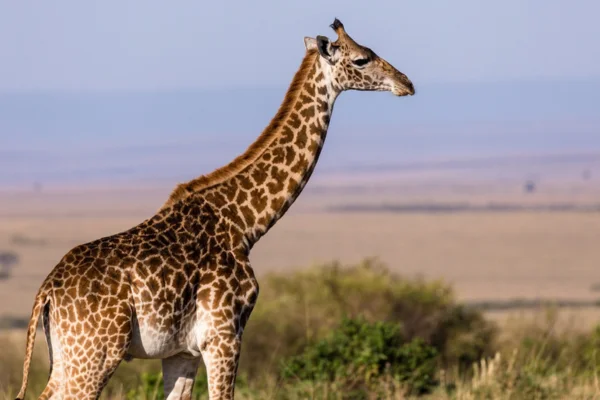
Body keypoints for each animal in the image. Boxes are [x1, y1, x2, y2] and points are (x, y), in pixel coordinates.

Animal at [17, 18, 412, 400]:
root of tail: (46, 292)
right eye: (361, 59)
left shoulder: (182, 351)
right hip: (95, 353)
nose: (406, 83)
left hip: (67, 355)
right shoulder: (224, 336)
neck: (246, 223)